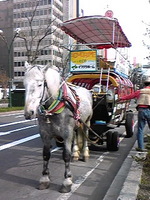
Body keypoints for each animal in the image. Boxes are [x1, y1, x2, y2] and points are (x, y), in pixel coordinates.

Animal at [23, 61, 92, 193]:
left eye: (40, 84)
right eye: (24, 84)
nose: (29, 112)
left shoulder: (66, 133)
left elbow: (66, 155)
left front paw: (67, 181)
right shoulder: (45, 134)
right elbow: (46, 154)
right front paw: (44, 179)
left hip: (87, 121)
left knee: (85, 135)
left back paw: (85, 154)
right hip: (76, 124)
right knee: (76, 135)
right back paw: (76, 153)